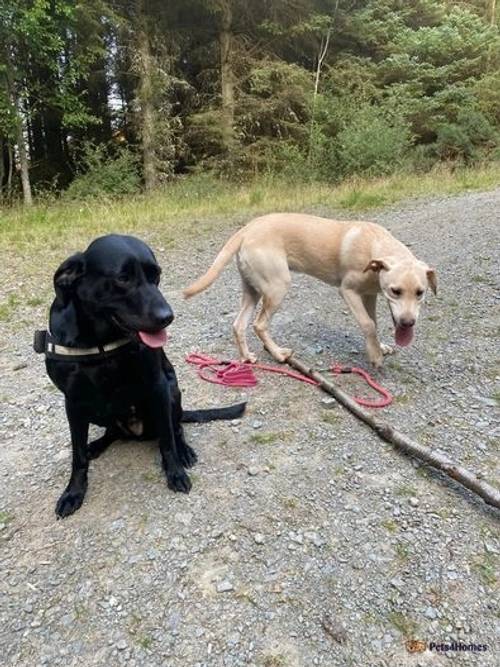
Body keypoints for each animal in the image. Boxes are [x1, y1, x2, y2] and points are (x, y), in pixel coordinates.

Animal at [34, 237, 244, 520]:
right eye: (123, 278)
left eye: (157, 276)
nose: (168, 317)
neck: (100, 342)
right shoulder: (73, 402)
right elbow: (77, 457)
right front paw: (73, 492)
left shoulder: (158, 386)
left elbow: (167, 440)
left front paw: (175, 471)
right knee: (113, 432)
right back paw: (96, 445)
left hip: (172, 392)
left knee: (176, 427)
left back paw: (184, 450)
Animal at [182, 214, 436, 368]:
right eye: (395, 291)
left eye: (420, 292)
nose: (408, 323)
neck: (375, 247)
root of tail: (247, 228)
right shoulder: (348, 292)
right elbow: (367, 324)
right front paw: (375, 356)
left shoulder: (369, 295)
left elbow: (373, 322)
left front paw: (379, 347)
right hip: (277, 287)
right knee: (259, 325)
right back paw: (278, 354)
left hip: (252, 291)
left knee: (239, 325)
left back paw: (247, 357)